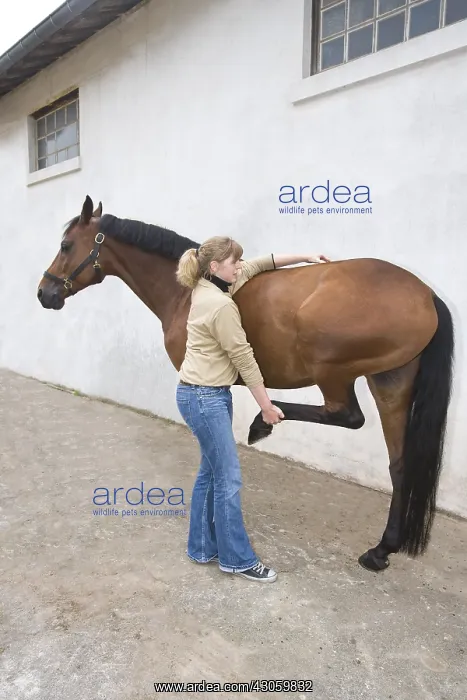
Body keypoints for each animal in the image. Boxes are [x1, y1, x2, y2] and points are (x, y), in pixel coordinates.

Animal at [37, 195, 454, 573]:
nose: (45, 293)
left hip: (332, 369)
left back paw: (263, 423)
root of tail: (426, 294)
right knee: (399, 464)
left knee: (347, 416)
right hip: (390, 383)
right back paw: (382, 550)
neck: (186, 292)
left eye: (66, 245)